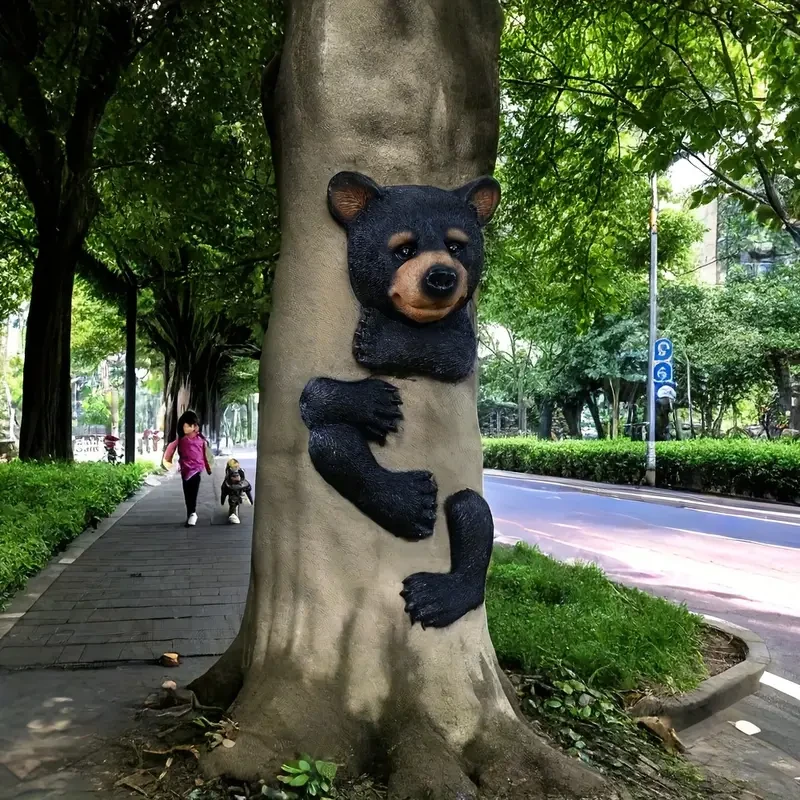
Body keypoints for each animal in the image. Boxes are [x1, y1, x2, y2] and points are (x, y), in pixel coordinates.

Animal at [299, 171, 500, 628]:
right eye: (403, 248)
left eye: (456, 245)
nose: (442, 277)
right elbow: (309, 395)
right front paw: (372, 402)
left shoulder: (459, 333)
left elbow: (451, 352)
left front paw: (378, 340)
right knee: (331, 441)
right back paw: (411, 501)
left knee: (472, 511)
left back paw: (436, 595)